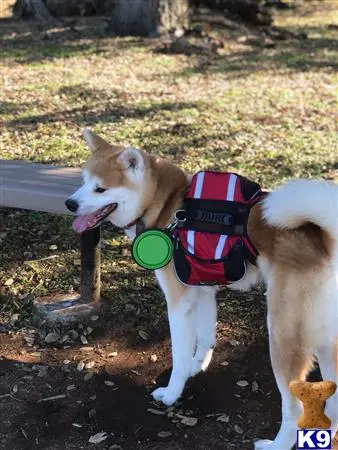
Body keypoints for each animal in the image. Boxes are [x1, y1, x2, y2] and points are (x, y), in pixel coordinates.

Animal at [66, 128, 338, 448]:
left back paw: (276, 444)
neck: (166, 206)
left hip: (284, 337)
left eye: (100, 189)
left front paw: (172, 393)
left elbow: (180, 353)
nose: (70, 204)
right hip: (325, 341)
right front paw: (197, 368)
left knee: (294, 407)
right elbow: (205, 339)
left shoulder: (178, 301)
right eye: (83, 181)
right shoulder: (204, 291)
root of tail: (327, 244)